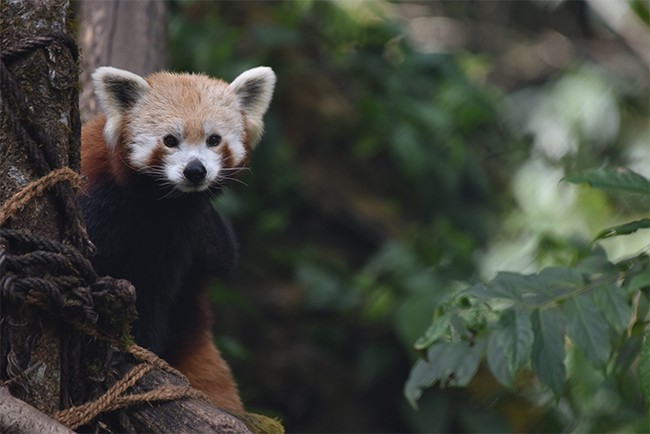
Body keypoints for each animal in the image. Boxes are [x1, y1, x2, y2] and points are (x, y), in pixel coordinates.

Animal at [78, 66, 274, 412]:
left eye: (213, 140)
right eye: (170, 141)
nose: (195, 170)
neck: (163, 204)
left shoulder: (180, 234)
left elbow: (158, 291)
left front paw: (145, 347)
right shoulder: (98, 199)